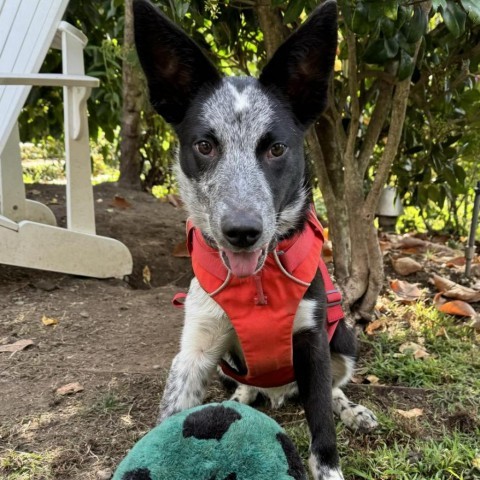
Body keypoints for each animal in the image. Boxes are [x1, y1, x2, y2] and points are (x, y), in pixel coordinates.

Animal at [132, 1, 378, 478]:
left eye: (276, 149)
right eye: (204, 146)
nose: (242, 232)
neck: (258, 285)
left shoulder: (314, 344)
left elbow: (323, 430)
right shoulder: (195, 349)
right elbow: (172, 413)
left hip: (345, 342)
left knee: (334, 389)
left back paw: (351, 410)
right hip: (229, 364)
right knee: (245, 386)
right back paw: (244, 397)